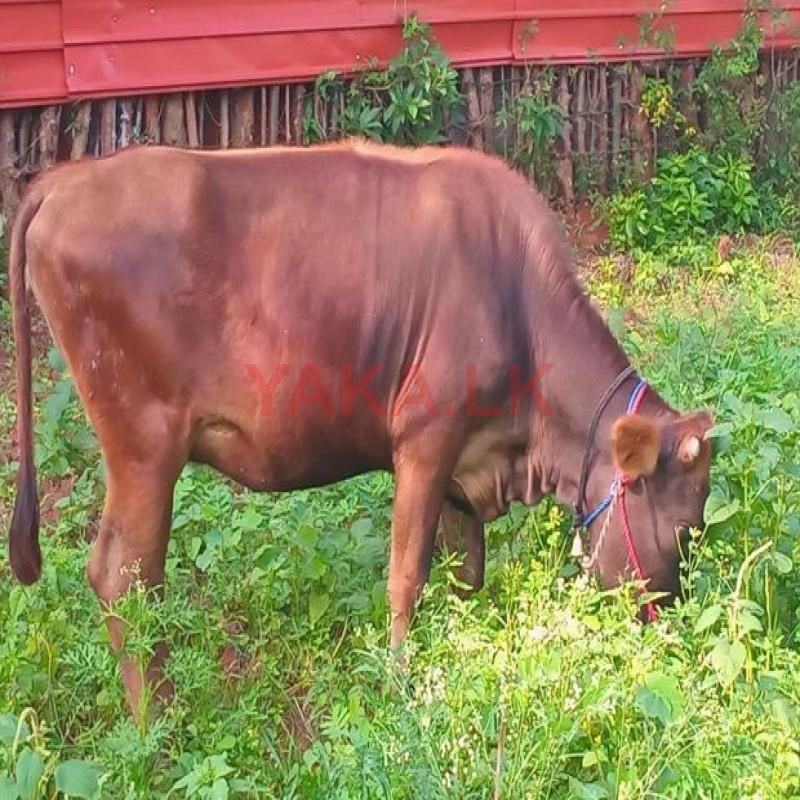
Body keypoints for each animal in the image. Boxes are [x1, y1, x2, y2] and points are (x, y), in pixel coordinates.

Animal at [7, 141, 713, 719]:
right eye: (686, 527)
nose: (675, 627)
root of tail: (67, 180)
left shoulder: (465, 466)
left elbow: (466, 571)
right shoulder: (426, 439)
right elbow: (406, 576)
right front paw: (400, 685)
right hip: (144, 445)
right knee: (124, 576)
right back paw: (158, 720)